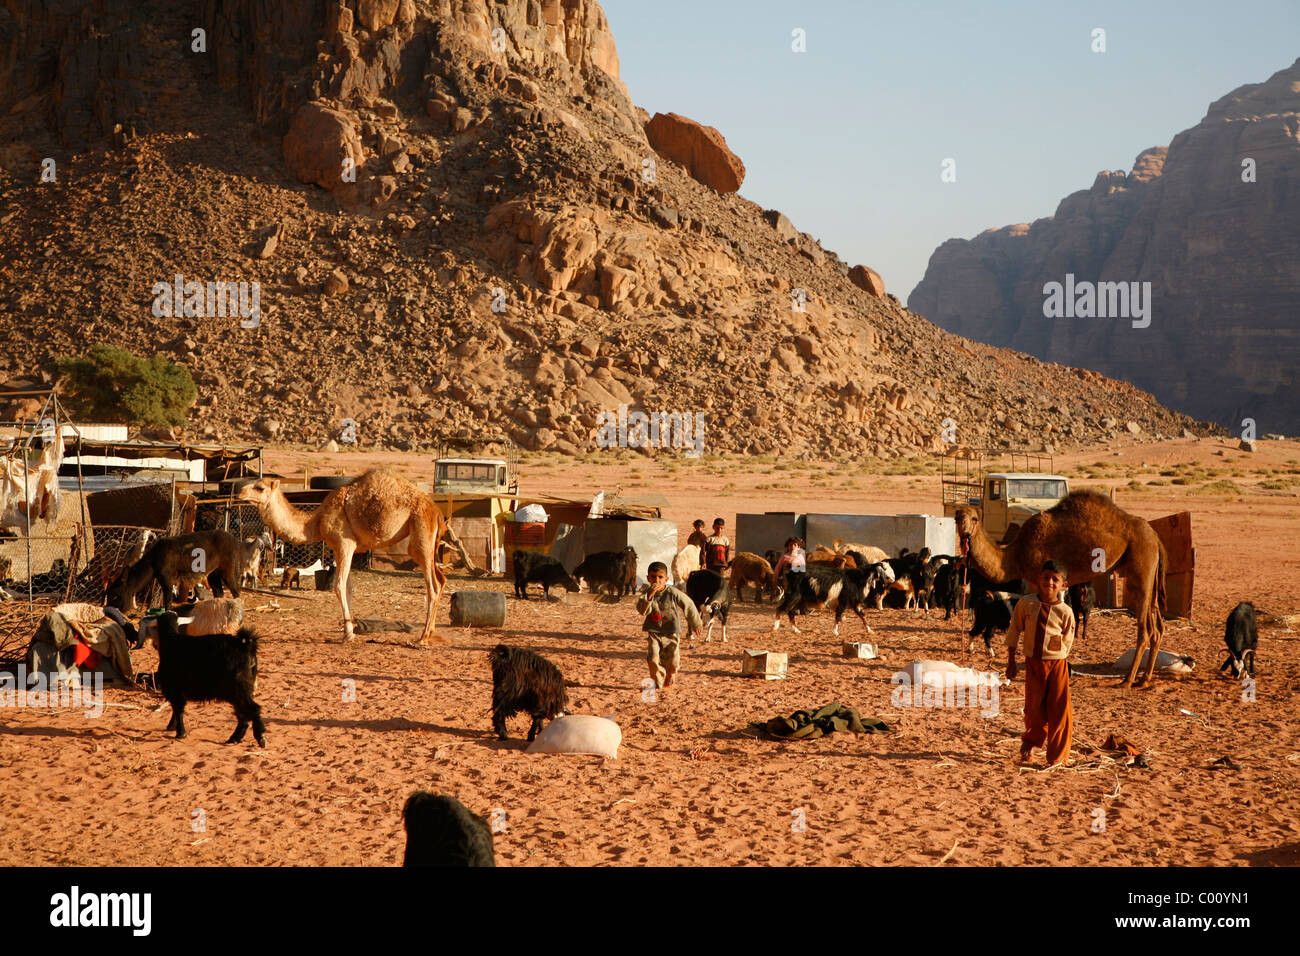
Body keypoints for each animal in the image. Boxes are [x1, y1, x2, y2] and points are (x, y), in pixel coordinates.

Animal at [149, 613, 263, 749]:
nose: (153, 644)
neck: (171, 640)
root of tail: (245, 646)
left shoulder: (174, 688)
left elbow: (178, 708)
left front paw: (180, 732)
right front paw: (172, 726)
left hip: (238, 688)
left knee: (252, 709)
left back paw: (260, 737)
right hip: (244, 690)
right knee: (243, 714)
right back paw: (234, 738)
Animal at [236, 468, 449, 642]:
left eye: (260, 488)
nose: (240, 492)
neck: (316, 521)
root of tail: (437, 511)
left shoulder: (345, 543)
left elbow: (338, 586)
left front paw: (348, 634)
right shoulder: (340, 549)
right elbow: (348, 588)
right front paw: (351, 629)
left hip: (420, 533)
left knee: (433, 585)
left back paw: (423, 638)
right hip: (430, 541)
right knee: (441, 579)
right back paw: (431, 632)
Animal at [946, 494, 1170, 686]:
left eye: (975, 518)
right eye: (957, 517)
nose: (964, 529)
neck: (1014, 556)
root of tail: (1156, 536)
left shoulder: (1037, 580)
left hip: (1141, 564)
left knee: (1145, 628)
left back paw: (1128, 680)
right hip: (1150, 572)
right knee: (1158, 626)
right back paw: (1145, 679)